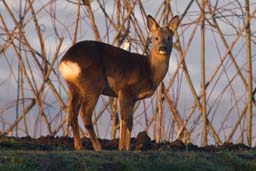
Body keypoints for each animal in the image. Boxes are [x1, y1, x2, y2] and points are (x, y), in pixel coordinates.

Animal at [58, 15, 178, 151]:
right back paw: (98, 147)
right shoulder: (125, 89)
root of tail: (65, 60)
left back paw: (78, 146)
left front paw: (125, 147)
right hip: (93, 83)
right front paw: (124, 148)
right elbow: (126, 120)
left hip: (74, 86)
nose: (163, 47)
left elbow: (127, 121)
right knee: (85, 113)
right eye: (156, 37)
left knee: (73, 112)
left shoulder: (132, 98)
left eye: (169, 37)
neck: (149, 70)